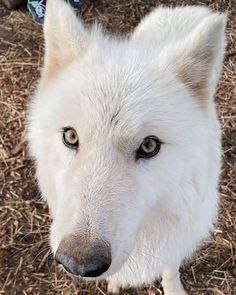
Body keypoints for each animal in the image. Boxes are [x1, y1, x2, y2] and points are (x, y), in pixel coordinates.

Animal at [27, 0, 227, 294]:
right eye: (71, 137)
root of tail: (187, 7)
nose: (78, 263)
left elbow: (170, 270)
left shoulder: (176, 240)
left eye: (149, 145)